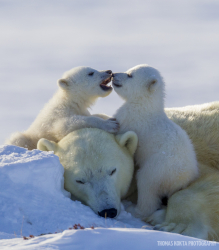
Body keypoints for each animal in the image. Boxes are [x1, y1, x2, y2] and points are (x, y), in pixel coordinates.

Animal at [113, 64, 198, 219]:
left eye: (130, 75)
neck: (145, 105)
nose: (113, 74)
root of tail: (181, 180)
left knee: (146, 185)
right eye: (129, 70)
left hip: (158, 169)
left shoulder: (130, 118)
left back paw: (135, 210)